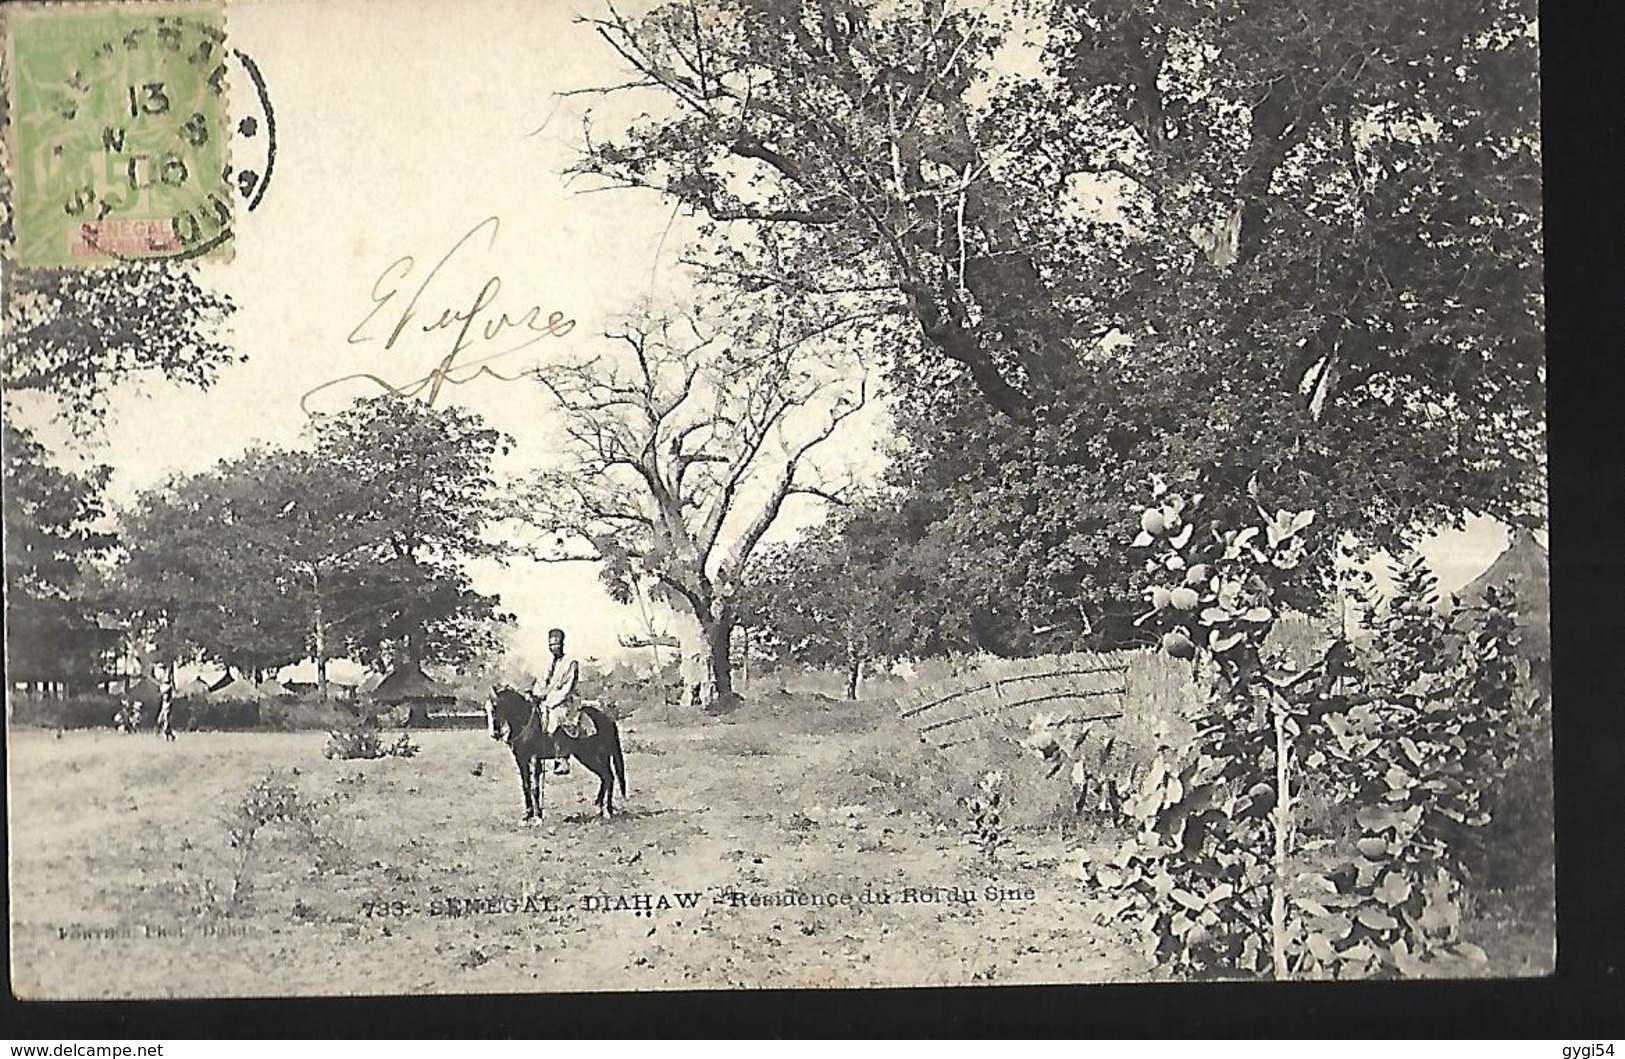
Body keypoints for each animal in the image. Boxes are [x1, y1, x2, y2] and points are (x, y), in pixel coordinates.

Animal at [484, 685, 624, 828]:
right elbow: (526, 786)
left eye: (495, 707)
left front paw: (538, 817)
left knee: (608, 777)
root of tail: (607, 718)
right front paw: (527, 816)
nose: (494, 734)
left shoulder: (534, 758)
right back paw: (600, 808)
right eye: (487, 709)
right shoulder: (521, 759)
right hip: (592, 756)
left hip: (591, 756)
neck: (526, 723)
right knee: (606, 777)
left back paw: (608, 811)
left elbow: (535, 787)